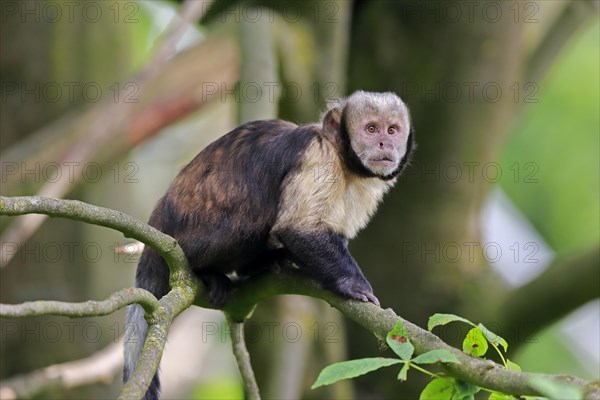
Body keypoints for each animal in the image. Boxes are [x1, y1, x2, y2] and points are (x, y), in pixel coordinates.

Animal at [122, 91, 412, 400]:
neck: (343, 160)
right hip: (192, 235)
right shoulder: (317, 159)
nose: (384, 143)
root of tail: (160, 216)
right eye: (371, 129)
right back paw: (209, 272)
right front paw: (354, 286)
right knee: (250, 216)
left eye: (392, 130)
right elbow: (298, 228)